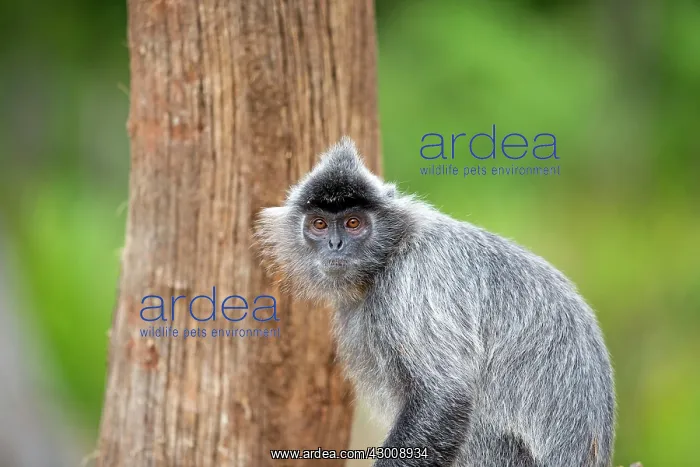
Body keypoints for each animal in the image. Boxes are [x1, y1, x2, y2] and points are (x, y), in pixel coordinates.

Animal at [254, 137, 616, 467]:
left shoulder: (417, 280)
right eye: (319, 224)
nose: (335, 244)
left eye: (353, 223)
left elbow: (444, 396)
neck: (390, 256)